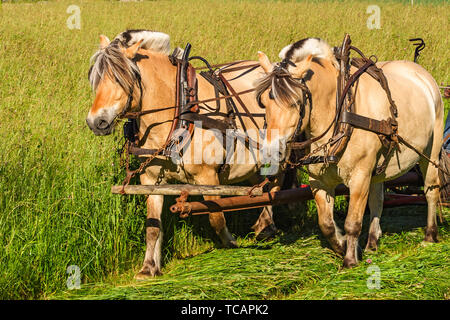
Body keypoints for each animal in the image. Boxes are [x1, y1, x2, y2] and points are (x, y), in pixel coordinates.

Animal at [85, 30, 282, 280]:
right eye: (95, 78)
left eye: (121, 78)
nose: (95, 122)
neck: (180, 113)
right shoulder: (150, 180)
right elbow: (152, 226)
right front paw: (148, 268)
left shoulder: (208, 178)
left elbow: (216, 218)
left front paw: (230, 244)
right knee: (261, 185)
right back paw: (263, 224)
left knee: (276, 186)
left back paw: (267, 226)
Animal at [256, 37, 446, 268]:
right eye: (263, 102)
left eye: (295, 103)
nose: (271, 151)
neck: (340, 111)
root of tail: (420, 72)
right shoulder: (318, 180)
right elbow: (326, 223)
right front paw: (342, 245)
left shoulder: (360, 176)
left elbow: (352, 222)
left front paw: (349, 261)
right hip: (379, 168)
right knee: (377, 200)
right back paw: (372, 243)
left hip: (431, 151)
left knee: (431, 189)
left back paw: (429, 236)